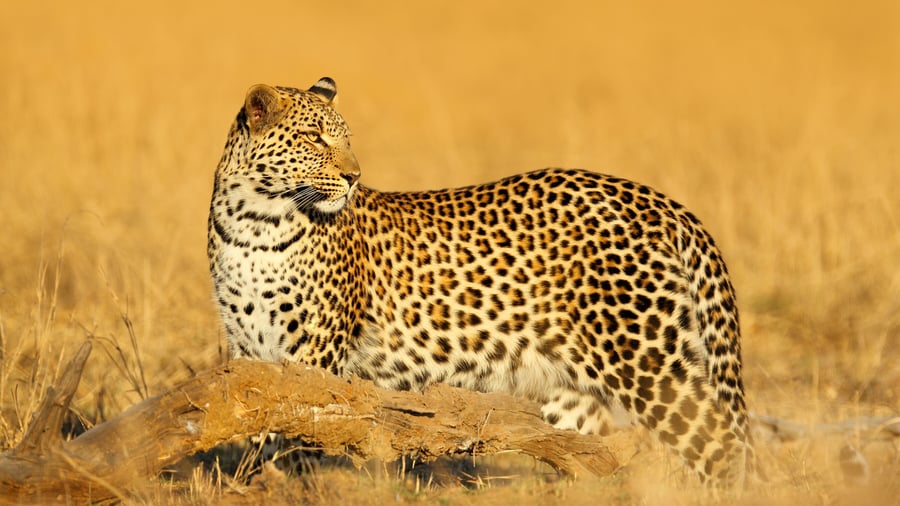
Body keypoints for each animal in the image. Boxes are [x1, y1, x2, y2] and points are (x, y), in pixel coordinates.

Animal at [208, 77, 755, 488]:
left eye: (346, 139)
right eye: (314, 138)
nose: (354, 177)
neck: (254, 222)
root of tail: (661, 201)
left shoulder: (315, 350)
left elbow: (296, 428)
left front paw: (281, 483)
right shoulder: (248, 350)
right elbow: (257, 422)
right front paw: (252, 480)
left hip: (645, 359)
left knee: (724, 446)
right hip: (577, 390)